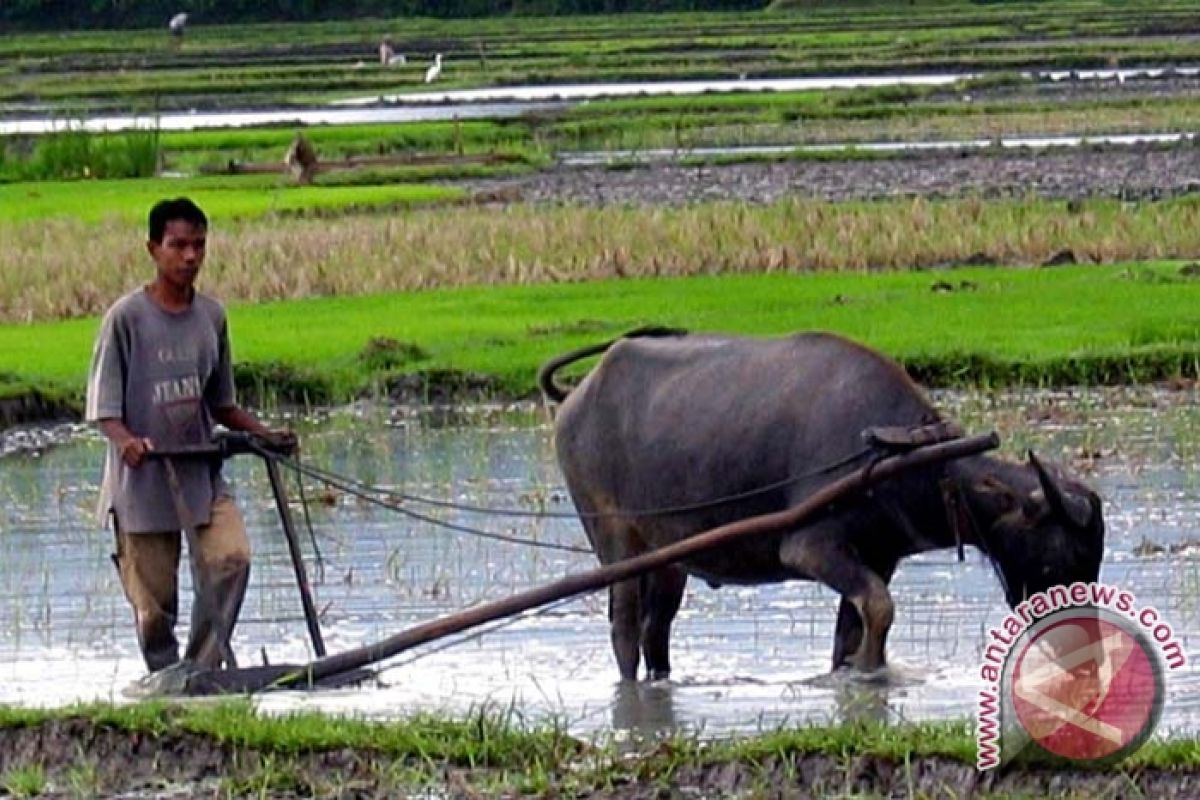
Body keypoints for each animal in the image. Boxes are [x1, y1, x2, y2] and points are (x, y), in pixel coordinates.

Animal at [542, 328, 1104, 681]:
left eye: (1091, 560)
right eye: (1061, 555)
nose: (1086, 655)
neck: (906, 462)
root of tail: (577, 396)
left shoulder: (877, 557)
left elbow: (851, 631)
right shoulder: (809, 547)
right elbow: (879, 608)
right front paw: (868, 671)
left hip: (669, 559)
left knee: (656, 629)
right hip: (613, 540)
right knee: (624, 627)